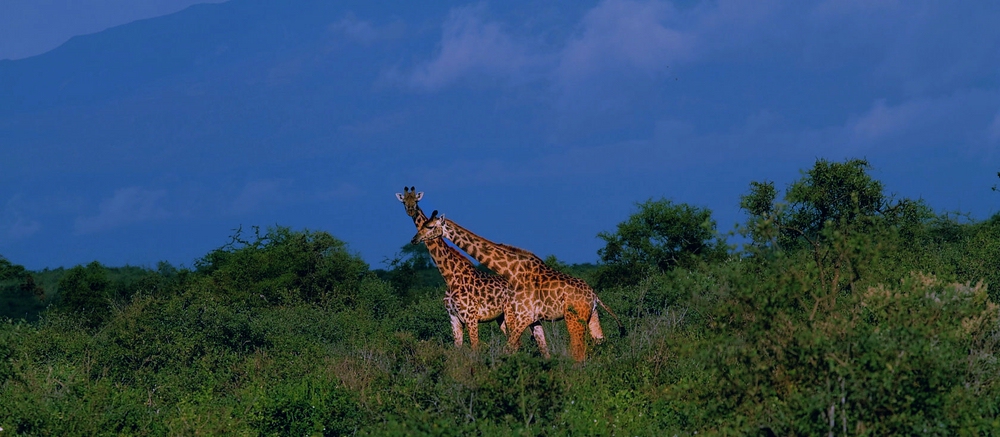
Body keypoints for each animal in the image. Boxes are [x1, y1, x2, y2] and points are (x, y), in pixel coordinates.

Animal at [394, 187, 548, 354]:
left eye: (416, 200)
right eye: (404, 201)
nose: (410, 210)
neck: (450, 276)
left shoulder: (471, 317)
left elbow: (474, 347)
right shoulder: (454, 318)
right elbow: (457, 348)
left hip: (511, 314)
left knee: (519, 342)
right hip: (503, 317)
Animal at [410, 209, 620, 360]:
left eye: (430, 226)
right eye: (423, 225)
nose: (414, 239)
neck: (510, 270)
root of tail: (594, 295)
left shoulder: (521, 317)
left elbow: (507, 349)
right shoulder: (531, 319)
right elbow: (542, 351)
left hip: (573, 318)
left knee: (578, 352)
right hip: (591, 316)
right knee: (601, 342)